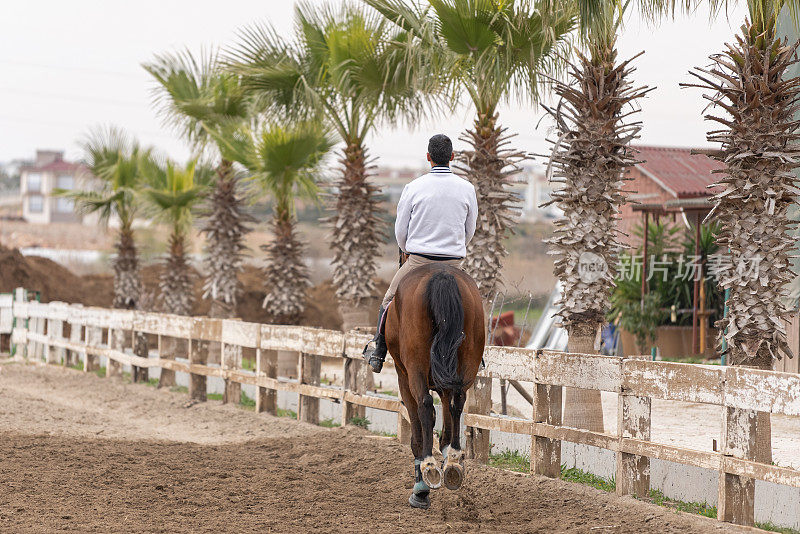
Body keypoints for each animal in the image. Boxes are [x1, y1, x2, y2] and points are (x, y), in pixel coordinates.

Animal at [384, 264, 484, 510]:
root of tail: (442, 274)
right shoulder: (445, 382)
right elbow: (447, 424)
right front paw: (449, 455)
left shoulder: (403, 378)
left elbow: (418, 430)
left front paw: (420, 487)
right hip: (466, 363)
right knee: (458, 402)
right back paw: (454, 462)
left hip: (415, 368)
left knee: (426, 405)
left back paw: (429, 468)